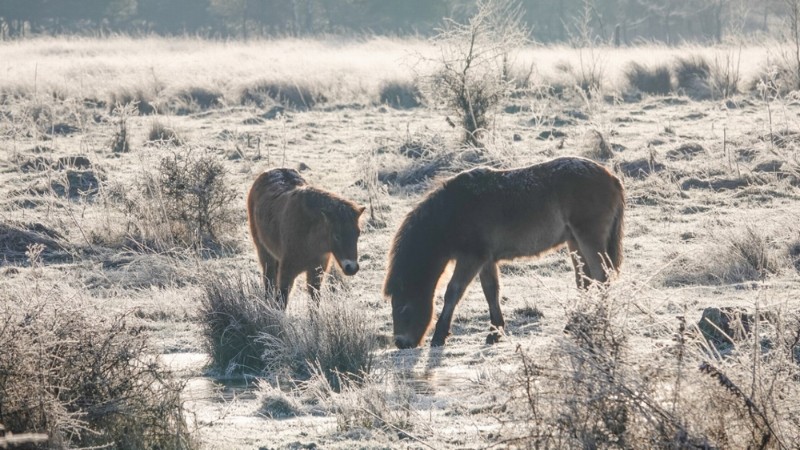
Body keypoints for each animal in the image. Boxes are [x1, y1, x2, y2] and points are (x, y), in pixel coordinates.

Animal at [247, 167, 366, 308]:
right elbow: (282, 301)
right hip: (265, 254)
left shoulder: (315, 274)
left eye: (358, 233)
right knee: (268, 283)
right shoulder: (287, 273)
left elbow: (314, 301)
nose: (352, 268)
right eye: (336, 236)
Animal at [386, 156, 624, 350]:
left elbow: (453, 292)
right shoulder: (486, 260)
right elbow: (491, 291)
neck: (453, 212)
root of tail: (612, 177)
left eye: (404, 308)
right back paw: (575, 324)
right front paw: (495, 331)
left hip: (588, 238)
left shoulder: (471, 259)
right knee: (584, 280)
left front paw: (439, 336)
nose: (401, 343)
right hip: (574, 241)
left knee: (601, 277)